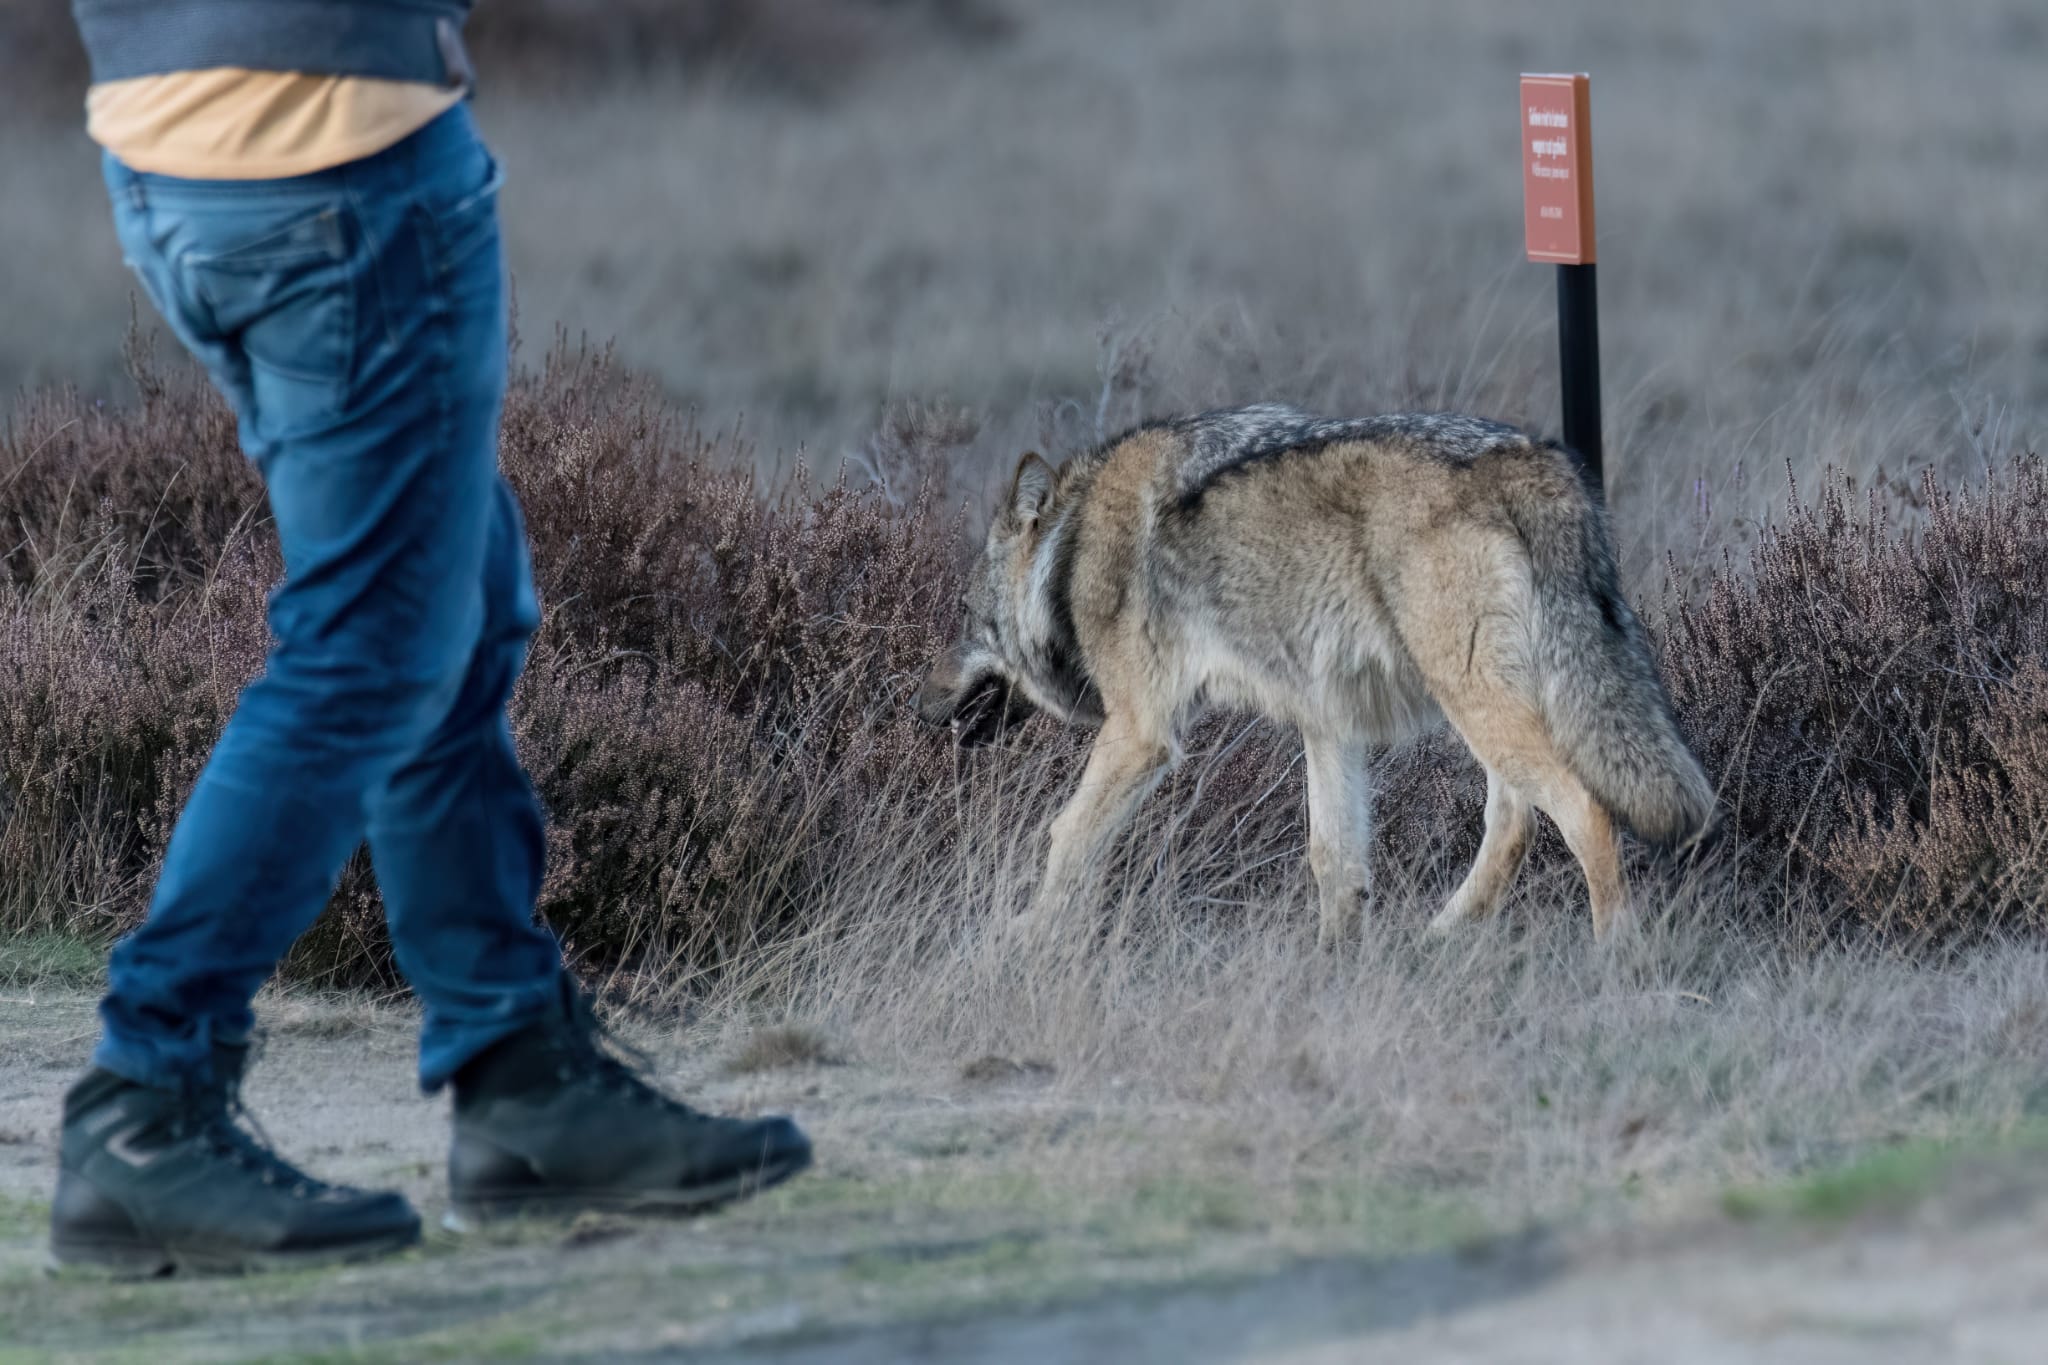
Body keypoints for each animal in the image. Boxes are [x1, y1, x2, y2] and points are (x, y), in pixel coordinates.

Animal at [914, 403, 1715, 944]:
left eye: (965, 615)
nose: (917, 705)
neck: (1072, 548)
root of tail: (1534, 463)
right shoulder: (1329, 725)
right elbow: (1334, 859)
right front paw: (1336, 964)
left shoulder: (1142, 735)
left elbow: (1067, 836)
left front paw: (1020, 937)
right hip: (1493, 708)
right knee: (1514, 823)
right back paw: (1436, 941)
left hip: (1479, 704)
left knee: (1584, 814)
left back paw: (1614, 955)